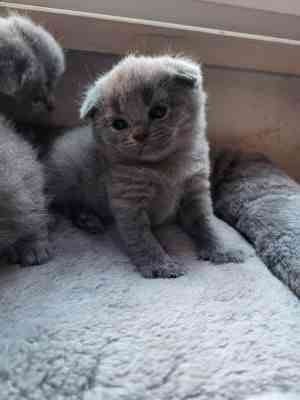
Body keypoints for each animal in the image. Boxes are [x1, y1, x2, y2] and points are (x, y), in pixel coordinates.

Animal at [47, 54, 246, 278]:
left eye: (159, 111)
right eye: (119, 124)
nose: (139, 135)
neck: (163, 166)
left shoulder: (195, 191)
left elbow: (205, 223)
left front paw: (221, 250)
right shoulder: (128, 202)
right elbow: (142, 238)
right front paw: (160, 265)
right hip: (68, 179)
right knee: (63, 204)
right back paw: (86, 219)